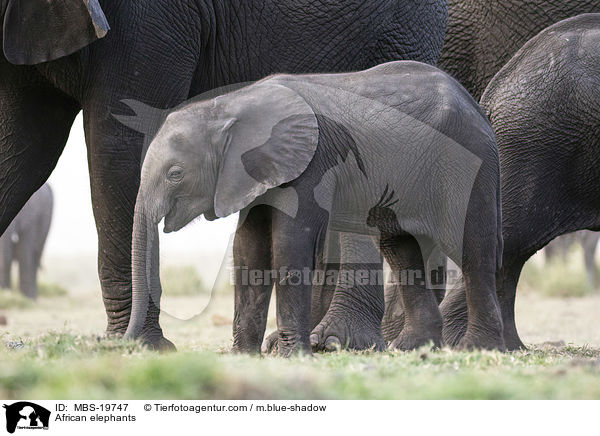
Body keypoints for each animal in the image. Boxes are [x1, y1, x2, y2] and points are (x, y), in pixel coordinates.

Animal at [0, 0, 448, 350]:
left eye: (177, 173)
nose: (109, 343)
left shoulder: (149, 22)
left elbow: (121, 143)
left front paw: (141, 346)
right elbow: (22, 146)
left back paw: (340, 341)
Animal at [125, 61, 506, 354]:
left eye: (175, 173)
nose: (125, 344)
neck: (228, 108)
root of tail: (479, 108)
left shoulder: (312, 165)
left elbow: (289, 244)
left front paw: (292, 355)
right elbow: (249, 248)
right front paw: (244, 355)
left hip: (466, 163)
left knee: (472, 249)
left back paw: (479, 348)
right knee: (400, 248)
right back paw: (411, 348)